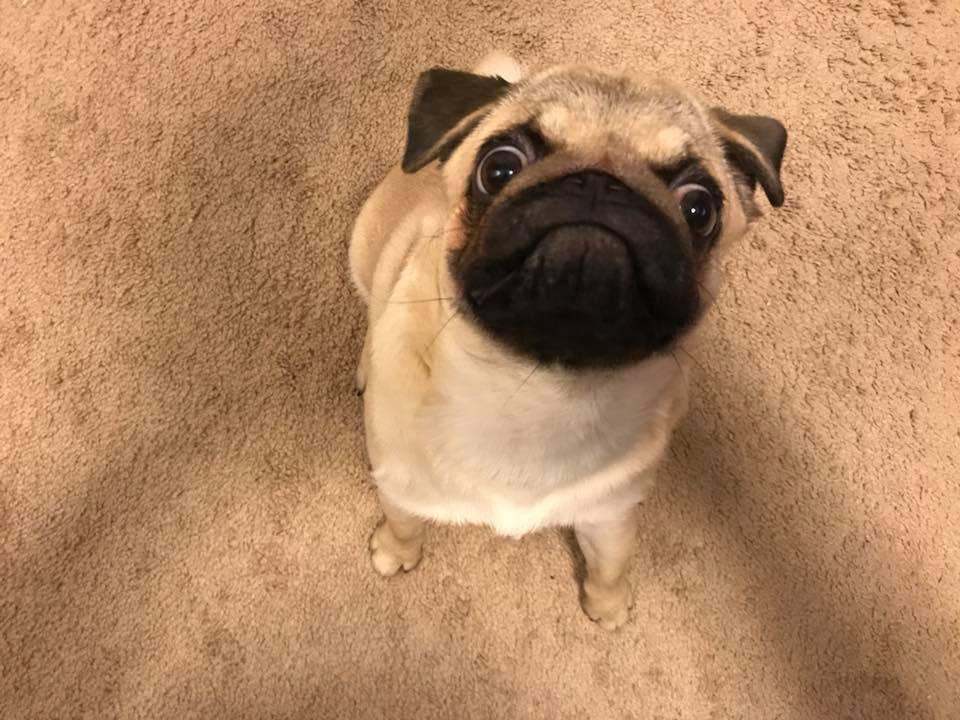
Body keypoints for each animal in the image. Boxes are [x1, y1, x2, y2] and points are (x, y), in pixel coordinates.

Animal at [348, 53, 784, 628]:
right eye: (499, 168)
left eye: (699, 208)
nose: (599, 184)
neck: (538, 388)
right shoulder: (399, 486)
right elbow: (404, 522)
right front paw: (396, 553)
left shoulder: (610, 513)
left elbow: (612, 561)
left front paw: (608, 604)